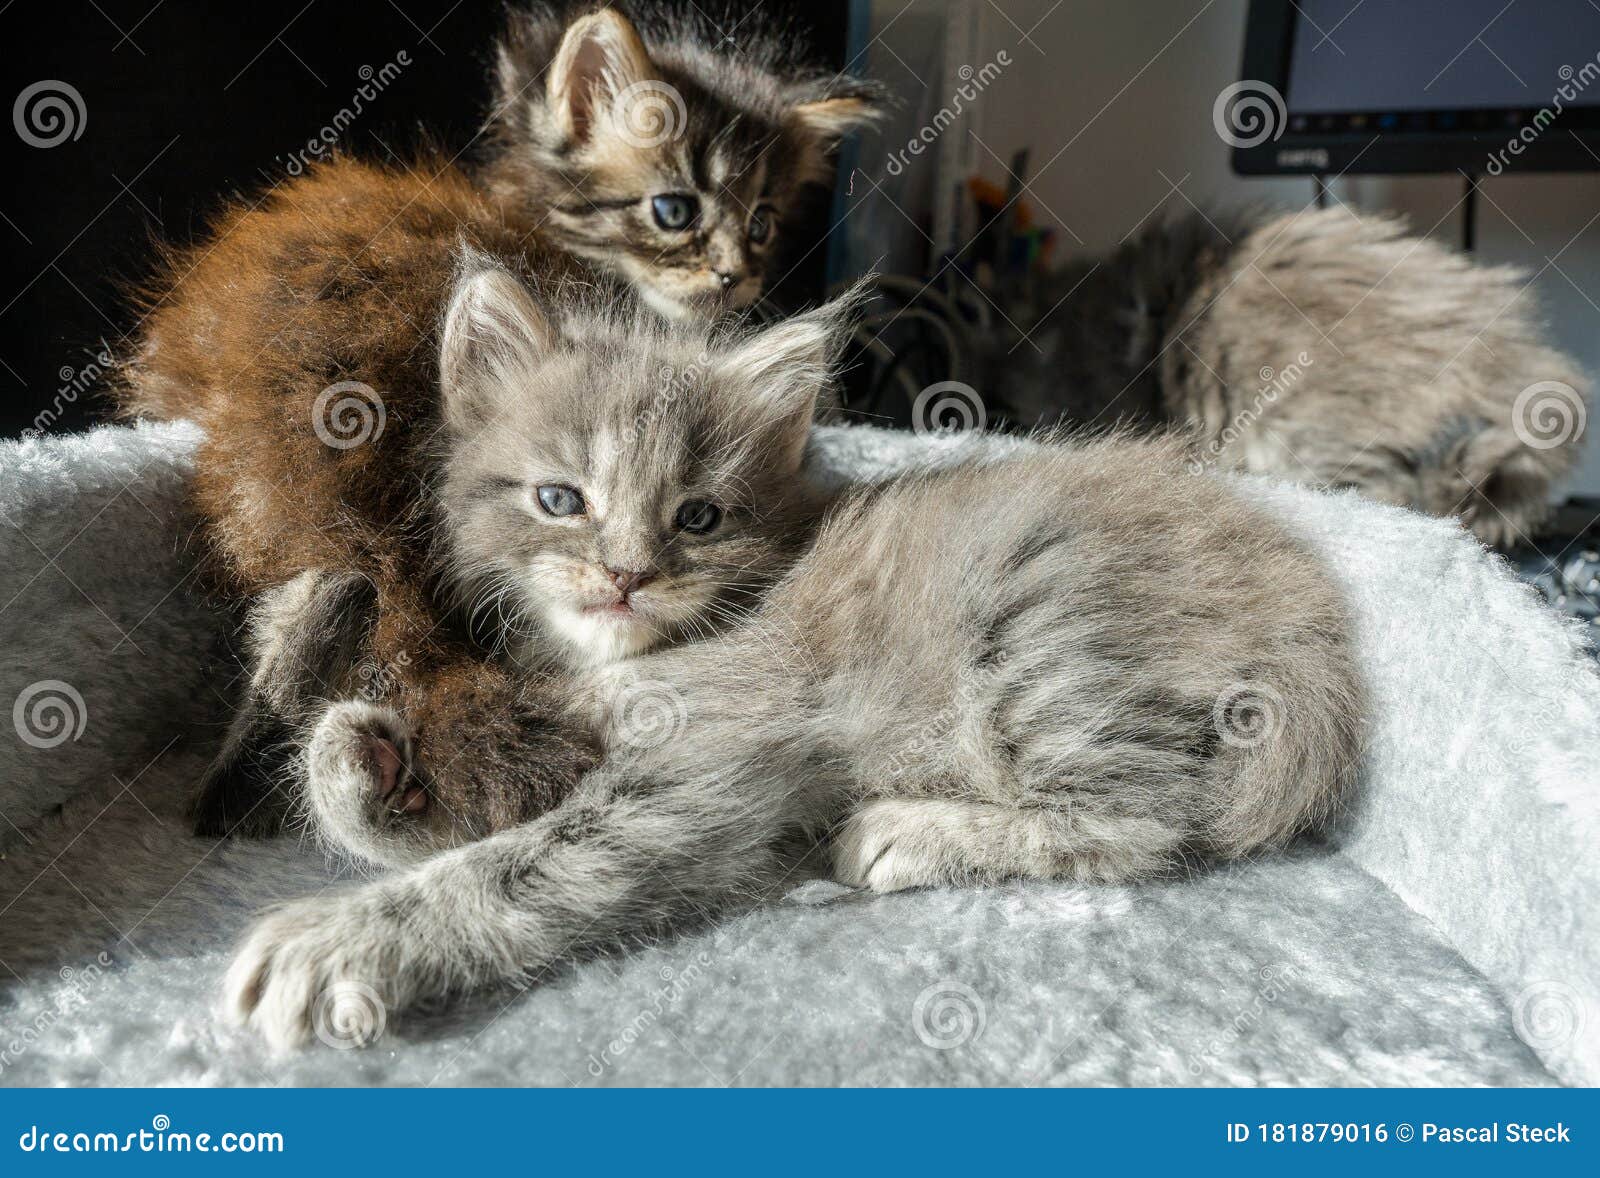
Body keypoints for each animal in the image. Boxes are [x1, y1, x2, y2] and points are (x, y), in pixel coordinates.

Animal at [225, 268, 1363, 1049]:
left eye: (698, 516)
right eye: (560, 499)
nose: (626, 574)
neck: (633, 653)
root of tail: (1302, 607)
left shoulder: (709, 771)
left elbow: (516, 865)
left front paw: (344, 938)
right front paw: (362, 762)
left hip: (1037, 624)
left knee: (1145, 823)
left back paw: (908, 831)